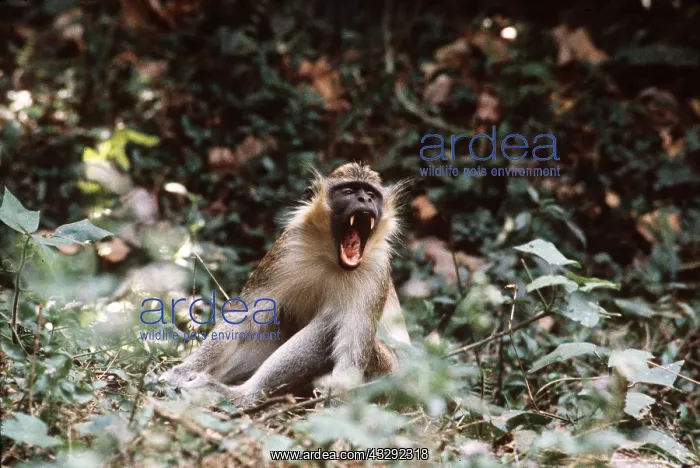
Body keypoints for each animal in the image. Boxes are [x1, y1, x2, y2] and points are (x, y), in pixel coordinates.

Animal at [159, 162, 411, 403]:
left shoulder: (377, 271)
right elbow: (244, 315)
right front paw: (184, 369)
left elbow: (351, 355)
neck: (332, 259)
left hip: (387, 377)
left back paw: (238, 394)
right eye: (348, 191)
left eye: (371, 194)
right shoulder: (286, 248)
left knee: (329, 325)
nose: (364, 199)